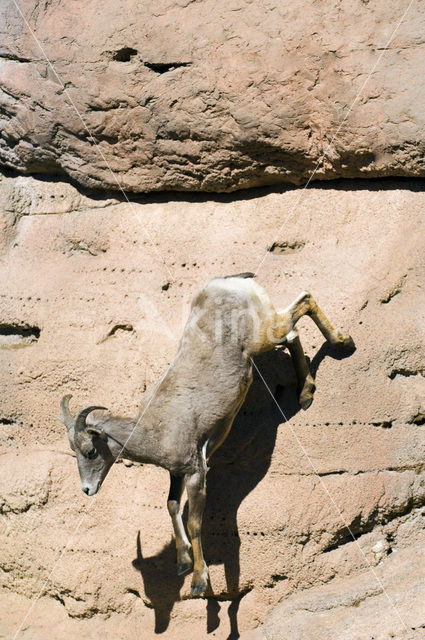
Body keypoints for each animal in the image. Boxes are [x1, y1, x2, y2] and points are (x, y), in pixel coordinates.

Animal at [61, 272, 352, 596]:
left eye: (90, 451)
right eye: (74, 452)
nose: (87, 489)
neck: (155, 428)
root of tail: (229, 282)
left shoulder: (195, 473)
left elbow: (194, 524)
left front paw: (199, 581)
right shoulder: (176, 474)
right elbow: (172, 506)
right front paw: (183, 563)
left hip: (264, 337)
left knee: (301, 308)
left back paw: (342, 344)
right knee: (294, 332)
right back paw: (306, 393)